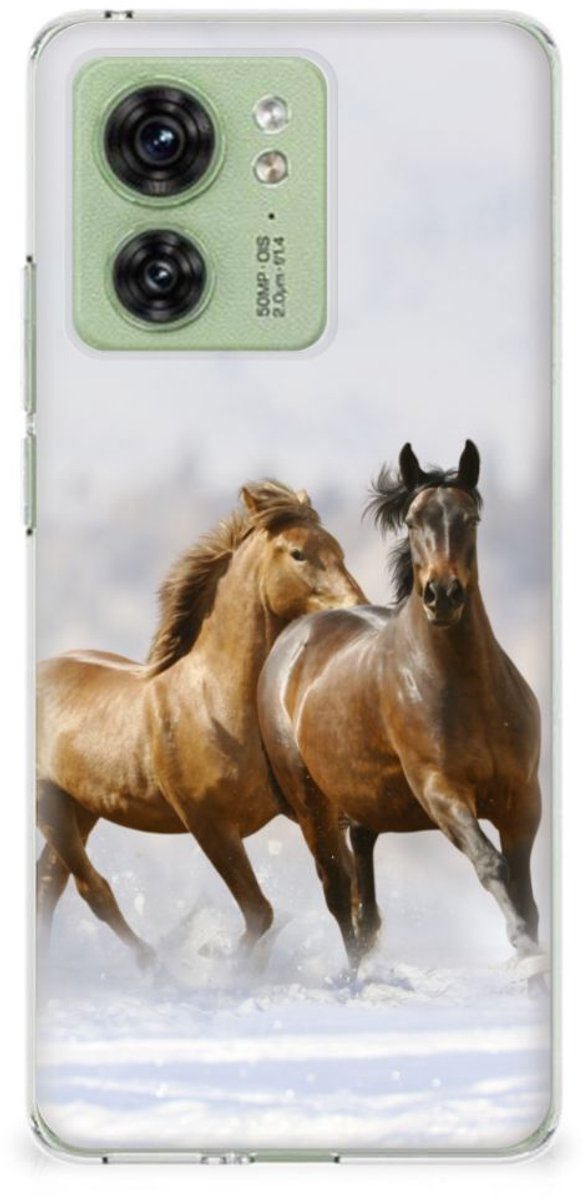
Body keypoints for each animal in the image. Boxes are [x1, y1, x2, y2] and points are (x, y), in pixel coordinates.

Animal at [36, 480, 366, 966]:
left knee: (48, 881)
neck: (215, 704)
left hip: (81, 806)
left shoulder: (308, 810)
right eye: (298, 553)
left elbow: (341, 888)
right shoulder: (208, 824)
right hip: (50, 804)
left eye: (339, 549)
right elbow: (260, 913)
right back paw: (154, 965)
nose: (357, 608)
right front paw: (225, 964)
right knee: (90, 888)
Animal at [258, 442, 542, 970]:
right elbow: (491, 865)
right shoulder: (441, 791)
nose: (442, 595)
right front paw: (524, 948)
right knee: (338, 894)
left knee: (364, 901)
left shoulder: (522, 799)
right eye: (412, 521)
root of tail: (292, 638)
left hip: (363, 806)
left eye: (470, 518)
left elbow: (526, 892)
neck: (468, 691)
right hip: (313, 807)